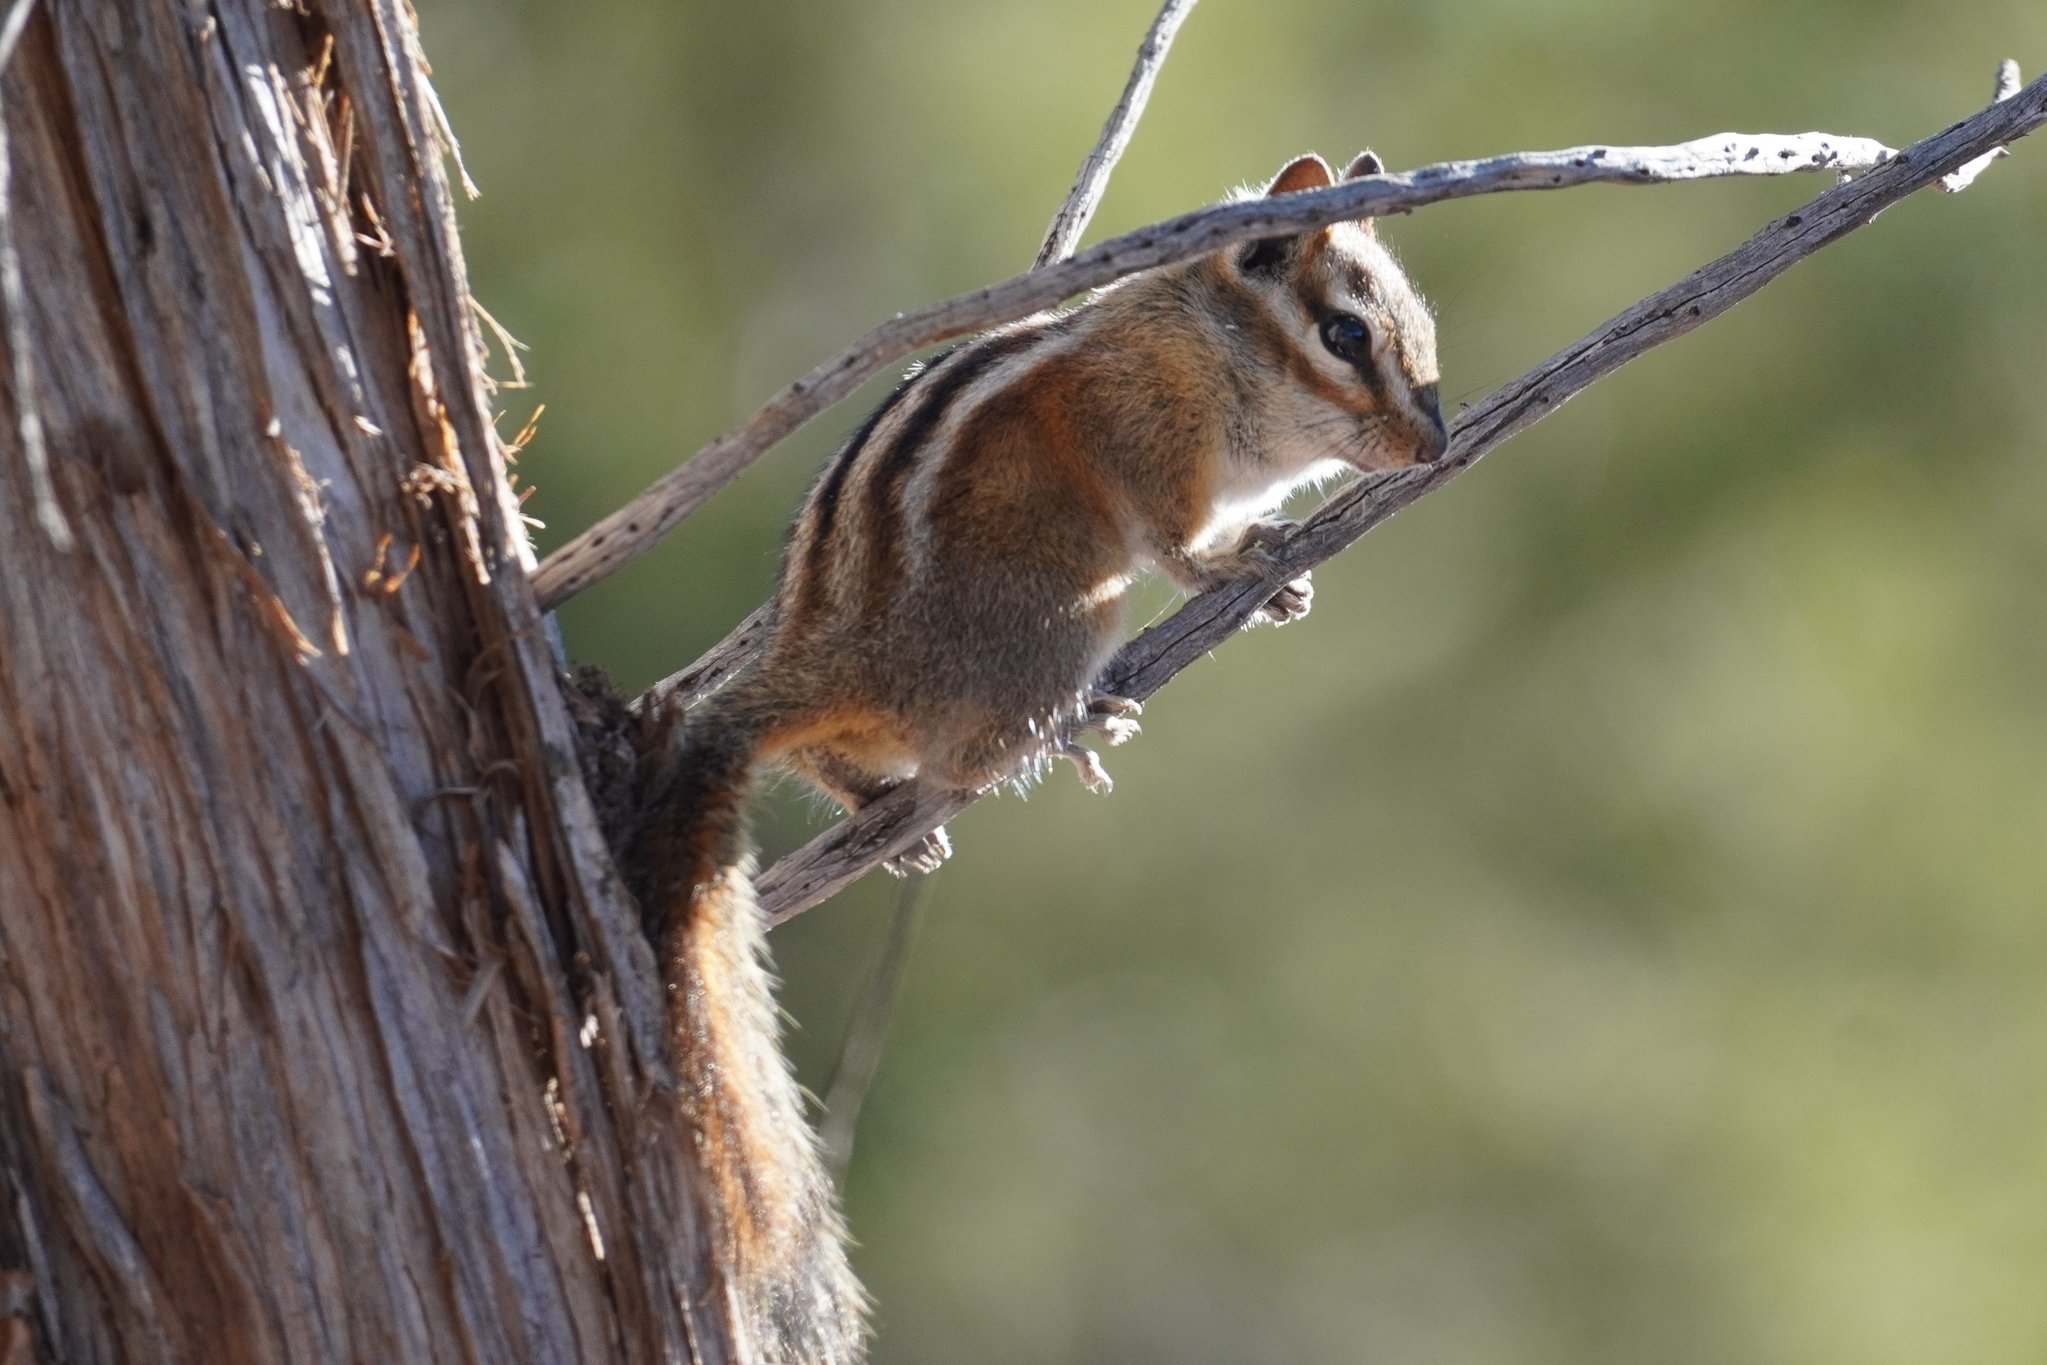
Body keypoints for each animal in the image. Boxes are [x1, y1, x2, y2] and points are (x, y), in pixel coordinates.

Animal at [627, 150, 1445, 1363]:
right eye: (1345, 334)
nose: (1433, 446)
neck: (1202, 338)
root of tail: (842, 657)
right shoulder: (1149, 446)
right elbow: (1177, 545)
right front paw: (1240, 562)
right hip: (1068, 614)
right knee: (964, 760)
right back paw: (1068, 730)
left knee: (837, 755)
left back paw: (886, 811)